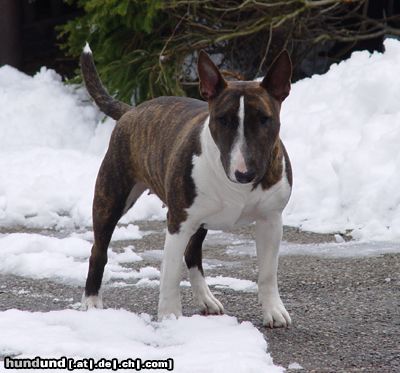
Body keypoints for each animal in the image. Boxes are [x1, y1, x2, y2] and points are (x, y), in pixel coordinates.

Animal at [82, 45, 294, 326]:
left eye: (264, 119)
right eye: (223, 119)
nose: (245, 174)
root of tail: (131, 111)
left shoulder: (271, 220)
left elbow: (268, 272)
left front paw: (273, 311)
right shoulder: (179, 222)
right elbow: (170, 274)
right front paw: (171, 316)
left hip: (199, 219)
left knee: (193, 253)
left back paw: (206, 300)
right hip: (111, 196)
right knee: (99, 249)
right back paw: (91, 301)